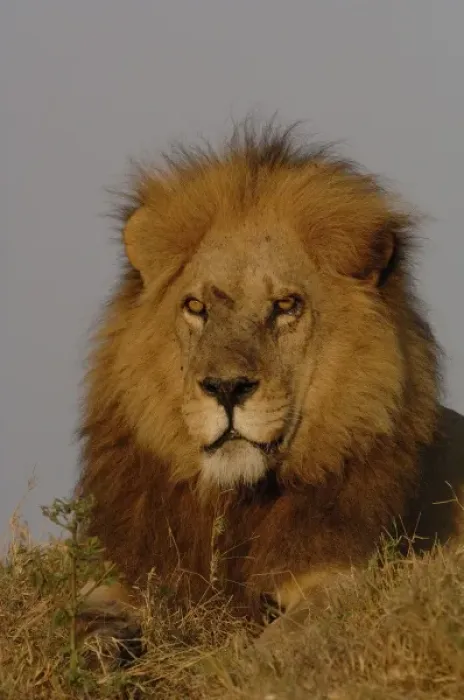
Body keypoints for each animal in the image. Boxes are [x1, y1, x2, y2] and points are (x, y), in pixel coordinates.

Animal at [75, 122, 464, 662]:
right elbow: (81, 617)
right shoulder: (129, 573)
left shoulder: (344, 577)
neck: (237, 504)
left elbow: (282, 639)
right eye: (195, 307)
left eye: (285, 305)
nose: (226, 387)